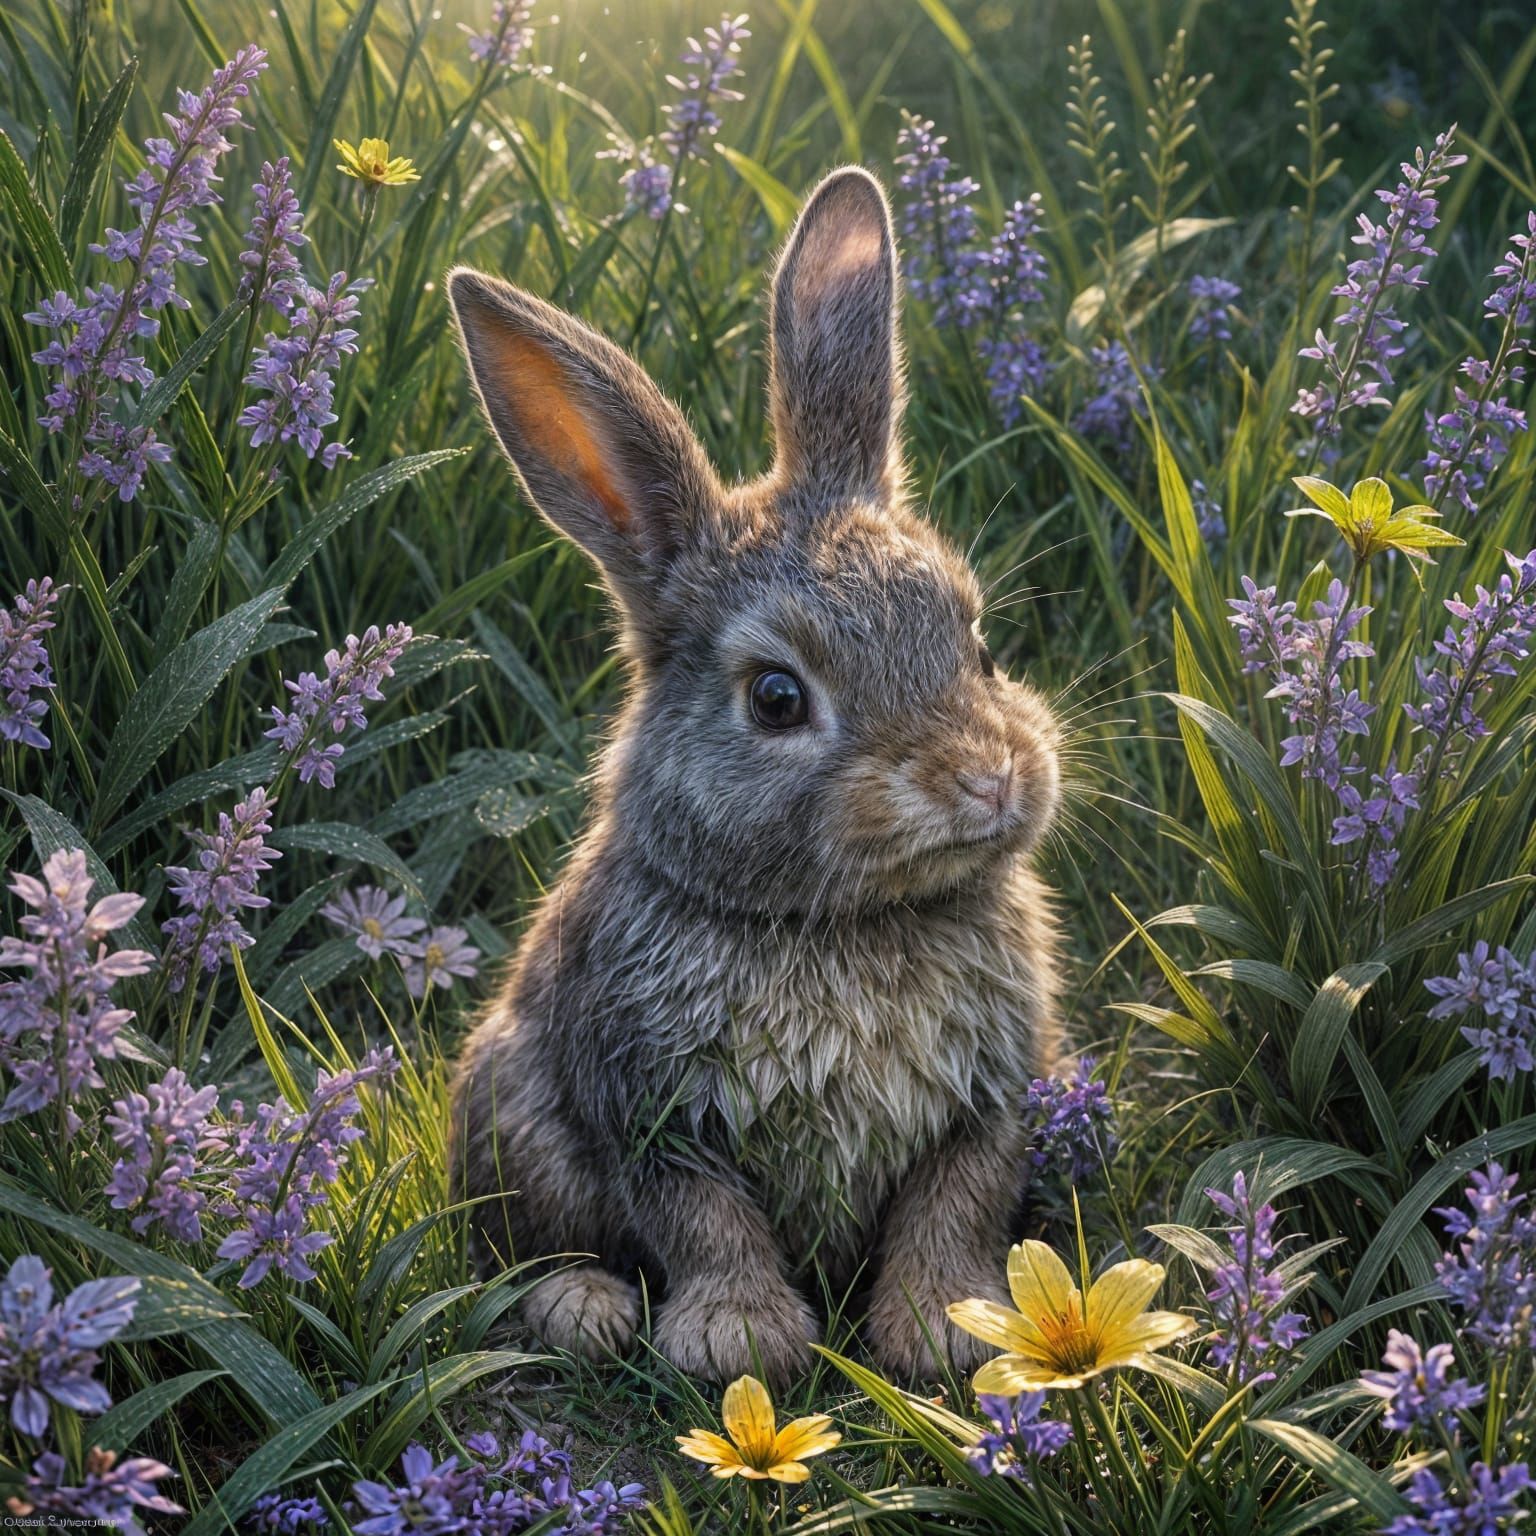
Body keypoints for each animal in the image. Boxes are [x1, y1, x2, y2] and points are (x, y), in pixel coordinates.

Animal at [446, 165, 1062, 1386]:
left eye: (976, 645)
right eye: (777, 698)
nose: (987, 782)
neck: (847, 927)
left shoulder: (990, 1103)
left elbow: (954, 1206)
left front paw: (947, 1330)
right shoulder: (647, 1108)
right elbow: (702, 1218)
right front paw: (738, 1339)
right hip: (513, 1111)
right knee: (529, 1246)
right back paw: (582, 1309)